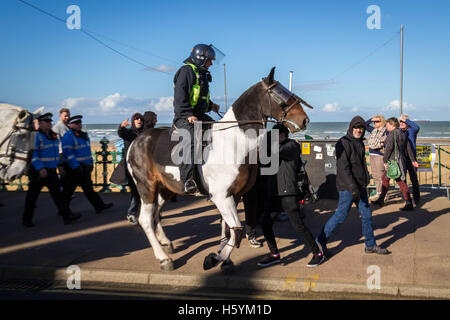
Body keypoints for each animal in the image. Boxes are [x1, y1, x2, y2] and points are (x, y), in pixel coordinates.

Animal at [125, 67, 312, 270]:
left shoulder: (234, 195)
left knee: (156, 214)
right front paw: (215, 258)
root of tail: (137, 140)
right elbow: (237, 230)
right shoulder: (221, 196)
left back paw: (166, 243)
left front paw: (225, 259)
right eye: (280, 93)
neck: (233, 142)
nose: (304, 120)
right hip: (147, 187)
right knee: (145, 219)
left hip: (165, 188)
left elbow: (228, 231)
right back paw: (163, 258)